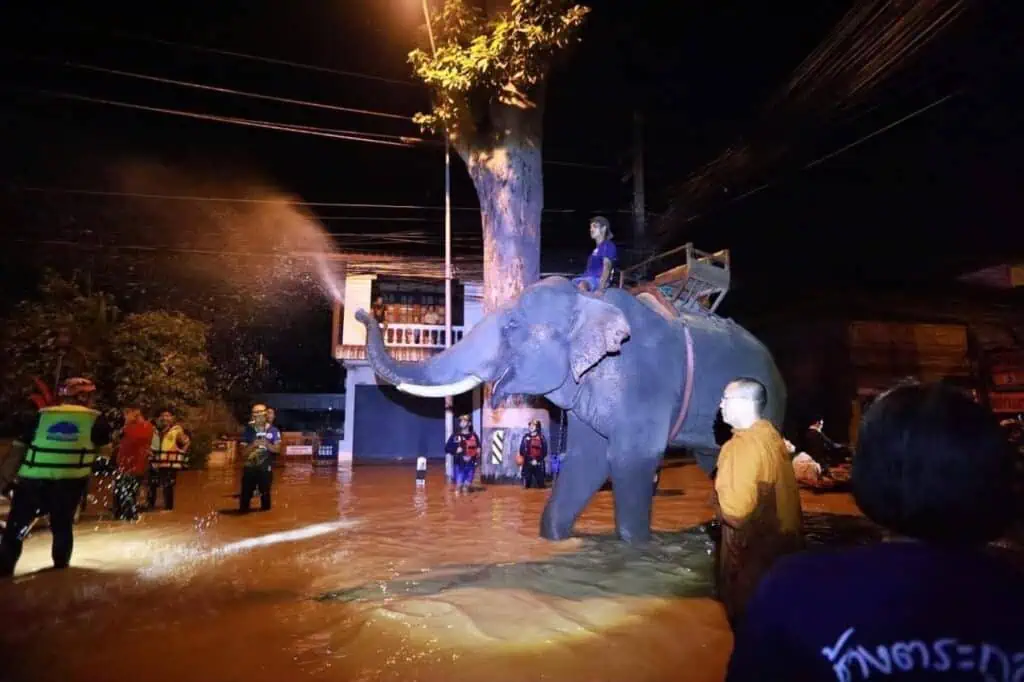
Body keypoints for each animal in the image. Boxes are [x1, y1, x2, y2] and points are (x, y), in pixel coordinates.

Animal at [356, 274, 786, 544]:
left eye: (512, 326)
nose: (363, 313)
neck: (589, 299)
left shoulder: (642, 381)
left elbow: (630, 459)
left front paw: (635, 546)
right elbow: (586, 461)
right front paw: (554, 538)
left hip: (769, 405)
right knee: (713, 463)